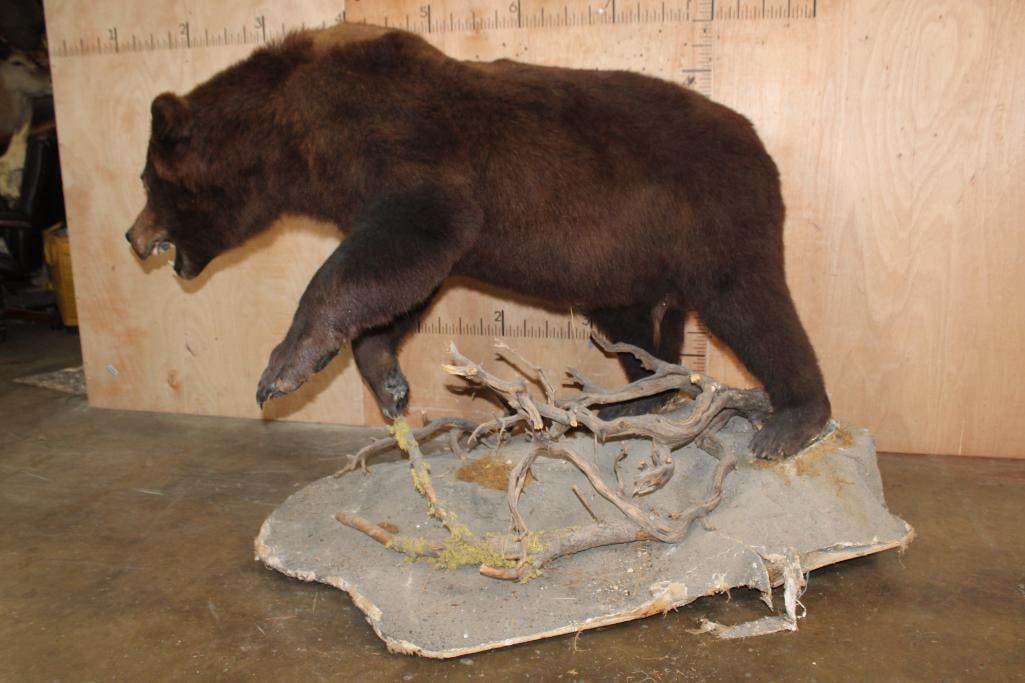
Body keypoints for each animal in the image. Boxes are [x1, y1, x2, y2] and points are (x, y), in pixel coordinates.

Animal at [125, 23, 831, 458]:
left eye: (147, 181)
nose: (132, 236)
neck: (296, 133)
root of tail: (759, 145)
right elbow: (406, 283)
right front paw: (387, 380)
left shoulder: (410, 145)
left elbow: (406, 242)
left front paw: (283, 367)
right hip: (631, 265)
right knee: (637, 329)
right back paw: (636, 402)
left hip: (714, 218)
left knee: (752, 306)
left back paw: (791, 420)